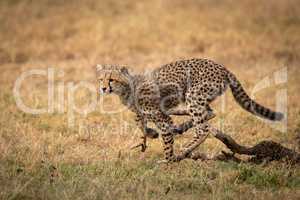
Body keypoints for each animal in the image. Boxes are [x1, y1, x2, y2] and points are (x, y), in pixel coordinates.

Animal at [95, 57, 284, 162]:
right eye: (100, 79)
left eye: (111, 79)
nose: (103, 88)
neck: (128, 88)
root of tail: (222, 67)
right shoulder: (148, 113)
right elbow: (140, 122)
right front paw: (151, 134)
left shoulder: (161, 117)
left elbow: (166, 139)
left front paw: (169, 160)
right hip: (196, 98)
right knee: (209, 113)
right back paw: (181, 126)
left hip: (194, 96)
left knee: (203, 128)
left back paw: (185, 149)